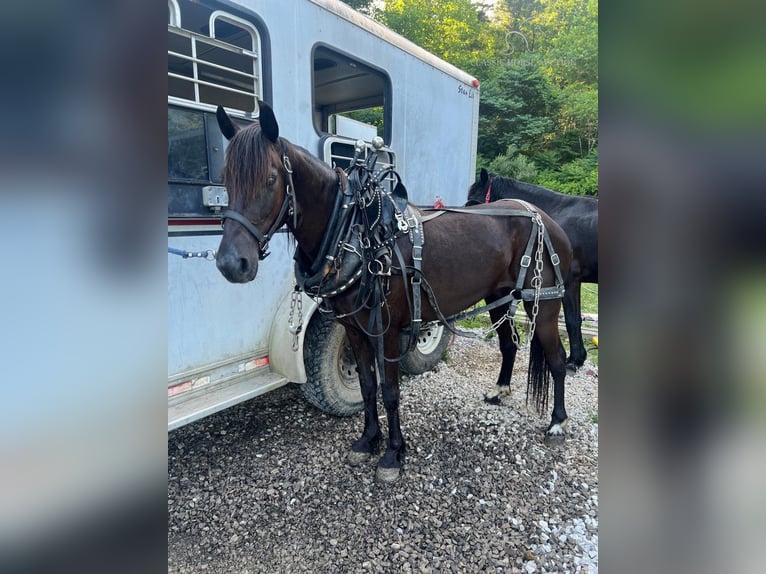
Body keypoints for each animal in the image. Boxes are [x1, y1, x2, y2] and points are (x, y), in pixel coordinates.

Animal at [213, 104, 572, 486]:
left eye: (269, 179)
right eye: (225, 177)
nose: (231, 263)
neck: (357, 234)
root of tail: (545, 219)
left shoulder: (385, 330)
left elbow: (389, 391)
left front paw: (392, 454)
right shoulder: (354, 328)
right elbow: (368, 386)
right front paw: (368, 440)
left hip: (545, 304)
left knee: (557, 359)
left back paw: (557, 423)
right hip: (498, 297)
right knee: (509, 345)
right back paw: (500, 392)